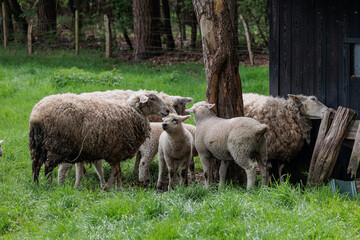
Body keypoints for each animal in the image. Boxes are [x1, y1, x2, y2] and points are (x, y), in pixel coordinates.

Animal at [28, 90, 169, 189]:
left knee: (36, 165)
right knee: (48, 167)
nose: (167, 110)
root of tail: (36, 115)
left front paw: (118, 188)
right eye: (152, 98)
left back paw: (36, 184)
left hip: (36, 144)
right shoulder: (116, 151)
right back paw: (48, 185)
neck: (132, 112)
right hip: (56, 145)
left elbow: (117, 171)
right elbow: (116, 171)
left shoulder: (115, 152)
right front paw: (108, 187)